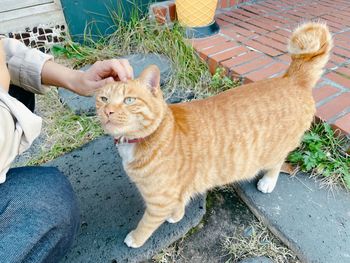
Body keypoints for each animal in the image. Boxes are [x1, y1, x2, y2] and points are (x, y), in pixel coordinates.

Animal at [95, 22, 330, 248]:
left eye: (129, 100)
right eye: (103, 99)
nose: (108, 111)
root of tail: (291, 79)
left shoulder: (158, 202)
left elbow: (146, 223)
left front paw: (135, 238)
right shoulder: (173, 193)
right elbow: (179, 204)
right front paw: (176, 215)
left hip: (275, 151)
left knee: (277, 163)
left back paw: (268, 181)